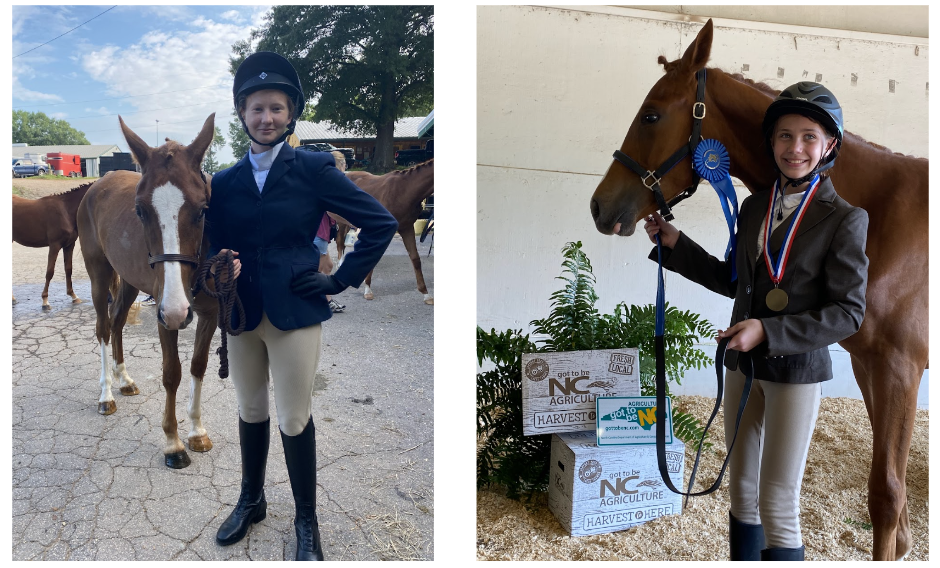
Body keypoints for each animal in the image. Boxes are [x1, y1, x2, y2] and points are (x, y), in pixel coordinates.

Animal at [77, 114, 220, 469]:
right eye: (140, 210)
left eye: (202, 209)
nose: (177, 309)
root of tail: (98, 184)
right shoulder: (165, 317)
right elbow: (172, 373)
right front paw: (173, 443)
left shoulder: (209, 314)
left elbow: (198, 366)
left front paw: (197, 430)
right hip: (99, 276)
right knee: (103, 328)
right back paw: (106, 394)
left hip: (129, 283)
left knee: (116, 322)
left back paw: (124, 380)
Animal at [335, 159, 434, 304]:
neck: (405, 190)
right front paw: (368, 290)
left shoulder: (407, 227)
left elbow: (415, 259)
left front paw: (426, 294)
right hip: (342, 222)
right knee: (340, 242)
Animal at [589, 20, 927, 561]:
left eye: (651, 114)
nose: (599, 207)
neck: (880, 213)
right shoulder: (870, 366)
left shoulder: (900, 368)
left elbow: (887, 494)